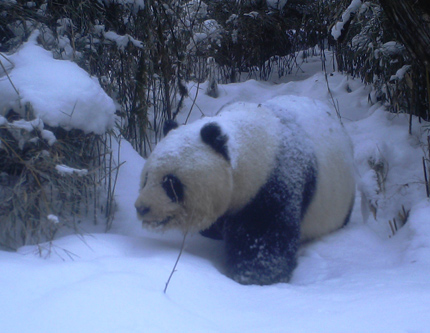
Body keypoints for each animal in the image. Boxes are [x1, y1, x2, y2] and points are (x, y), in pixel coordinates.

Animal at [135, 94, 356, 284]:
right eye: (146, 179)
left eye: (171, 183)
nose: (142, 208)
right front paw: (212, 232)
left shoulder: (277, 179)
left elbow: (264, 236)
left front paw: (254, 275)